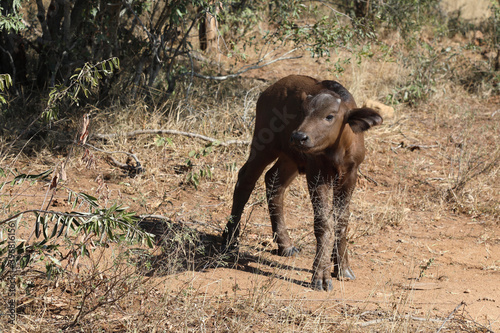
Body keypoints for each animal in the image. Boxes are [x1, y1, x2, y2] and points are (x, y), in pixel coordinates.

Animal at [223, 74, 382, 290]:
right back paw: (230, 242)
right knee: (245, 179)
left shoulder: (350, 175)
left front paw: (342, 268)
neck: (337, 149)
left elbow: (341, 221)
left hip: (290, 157)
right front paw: (321, 276)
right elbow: (323, 222)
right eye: (303, 112)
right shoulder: (317, 174)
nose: (299, 137)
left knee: (273, 181)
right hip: (264, 145)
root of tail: (269, 91)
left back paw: (286, 245)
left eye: (330, 116)